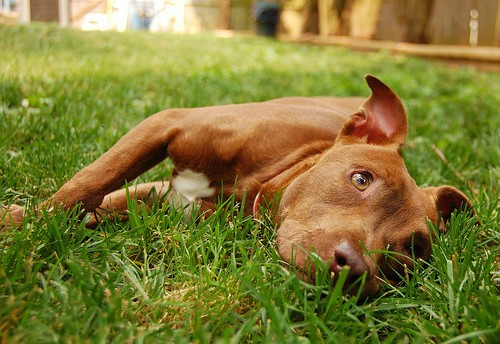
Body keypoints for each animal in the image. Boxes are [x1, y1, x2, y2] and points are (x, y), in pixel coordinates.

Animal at [0, 76, 472, 296]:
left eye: (413, 251)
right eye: (361, 179)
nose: (353, 268)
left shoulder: (162, 194)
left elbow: (100, 197)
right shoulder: (166, 125)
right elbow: (90, 182)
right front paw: (22, 226)